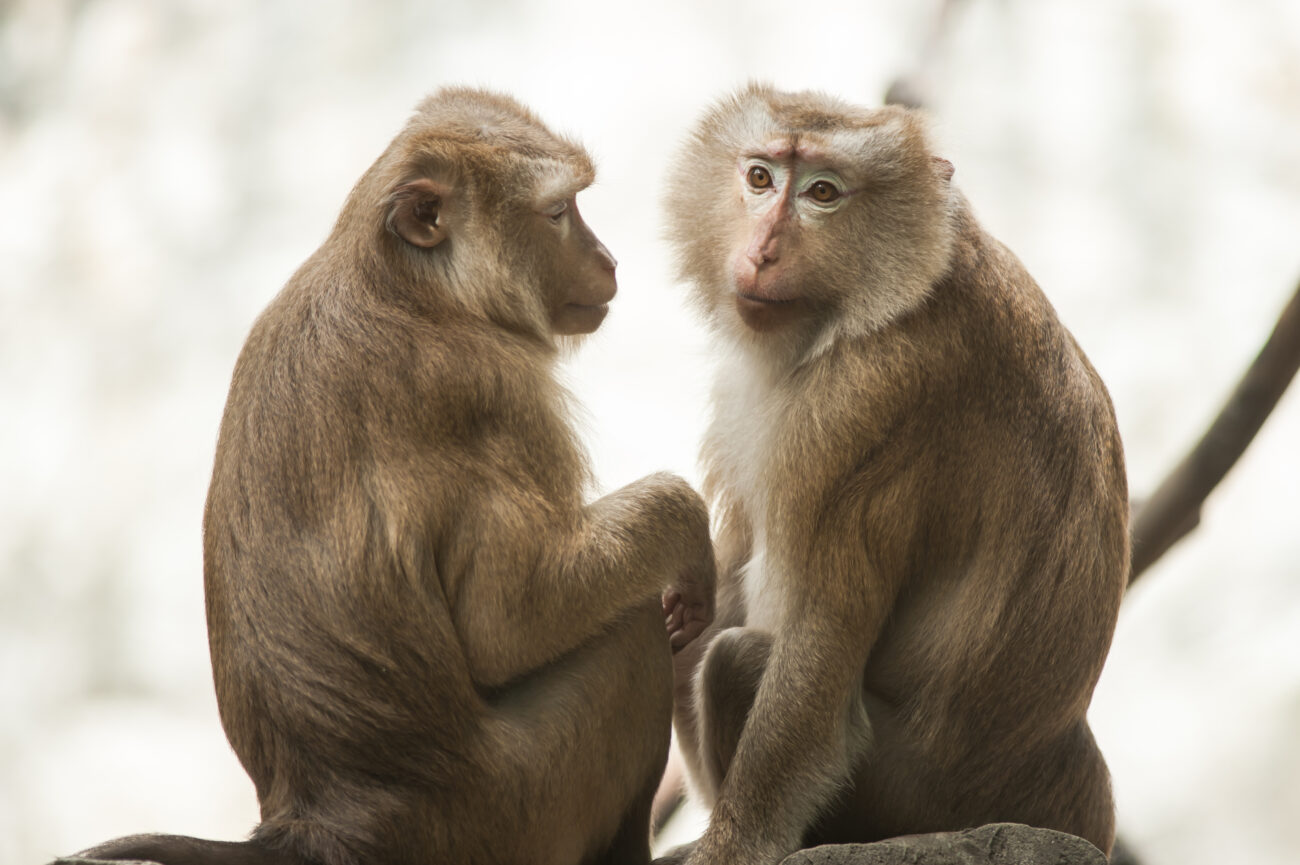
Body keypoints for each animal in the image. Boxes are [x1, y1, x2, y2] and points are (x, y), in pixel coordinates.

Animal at [65, 85, 717, 863]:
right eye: (560, 212)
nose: (609, 260)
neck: (413, 286)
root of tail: (319, 822)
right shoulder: (492, 389)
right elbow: (509, 621)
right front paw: (686, 525)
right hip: (510, 806)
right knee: (627, 628)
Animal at [660, 85, 1128, 863]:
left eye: (822, 193)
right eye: (759, 177)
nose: (762, 250)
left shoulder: (859, 407)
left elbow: (817, 661)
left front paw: (735, 841)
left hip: (908, 797)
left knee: (731, 663)